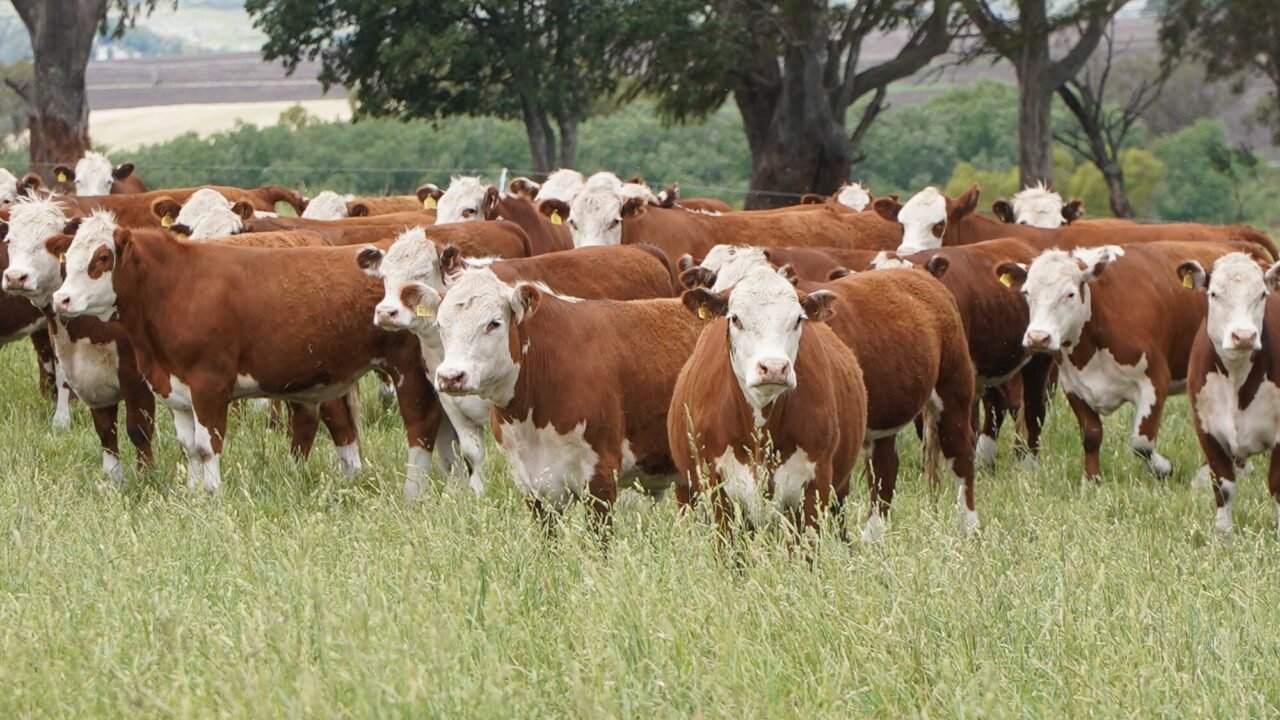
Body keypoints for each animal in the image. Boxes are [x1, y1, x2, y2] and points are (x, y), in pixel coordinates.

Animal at [49, 218, 444, 494]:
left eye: (102, 257)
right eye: (67, 260)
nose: (61, 299)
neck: (174, 287)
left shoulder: (209, 384)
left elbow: (207, 445)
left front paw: (212, 492)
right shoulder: (174, 389)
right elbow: (188, 446)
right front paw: (192, 491)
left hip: (408, 368)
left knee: (420, 427)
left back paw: (412, 491)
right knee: (343, 426)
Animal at [1000, 241, 1267, 482]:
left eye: (1069, 294)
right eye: (1026, 293)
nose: (1038, 337)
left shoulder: (1154, 381)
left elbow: (1142, 441)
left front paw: (1162, 467)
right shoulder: (1073, 385)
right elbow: (1091, 434)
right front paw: (1091, 479)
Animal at [1180, 253, 1280, 537]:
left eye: (1261, 294)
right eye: (1214, 294)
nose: (1244, 336)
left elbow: (1277, 485)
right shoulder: (1206, 430)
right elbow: (1224, 486)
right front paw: (1223, 535)